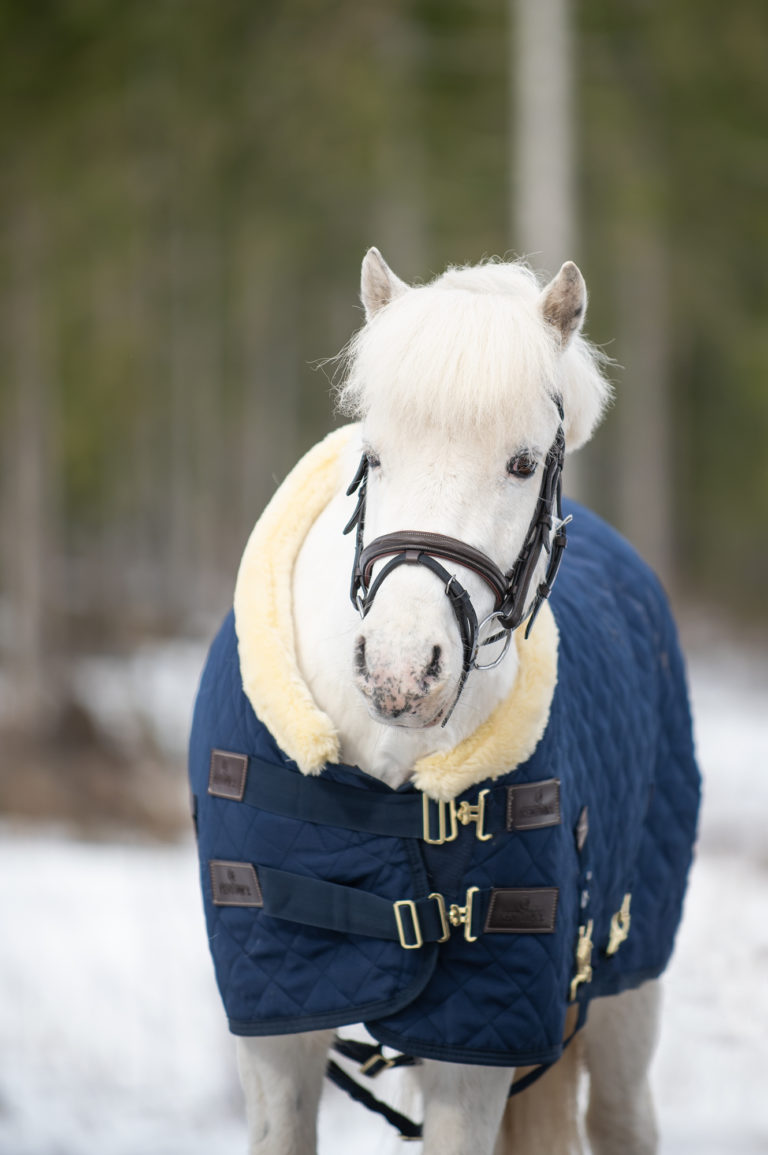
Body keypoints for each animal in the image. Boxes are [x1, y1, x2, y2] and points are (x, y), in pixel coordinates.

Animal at [228, 252, 665, 1155]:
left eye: (523, 463)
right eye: (374, 456)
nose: (401, 672)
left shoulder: (476, 1042)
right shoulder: (275, 1031)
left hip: (626, 990)